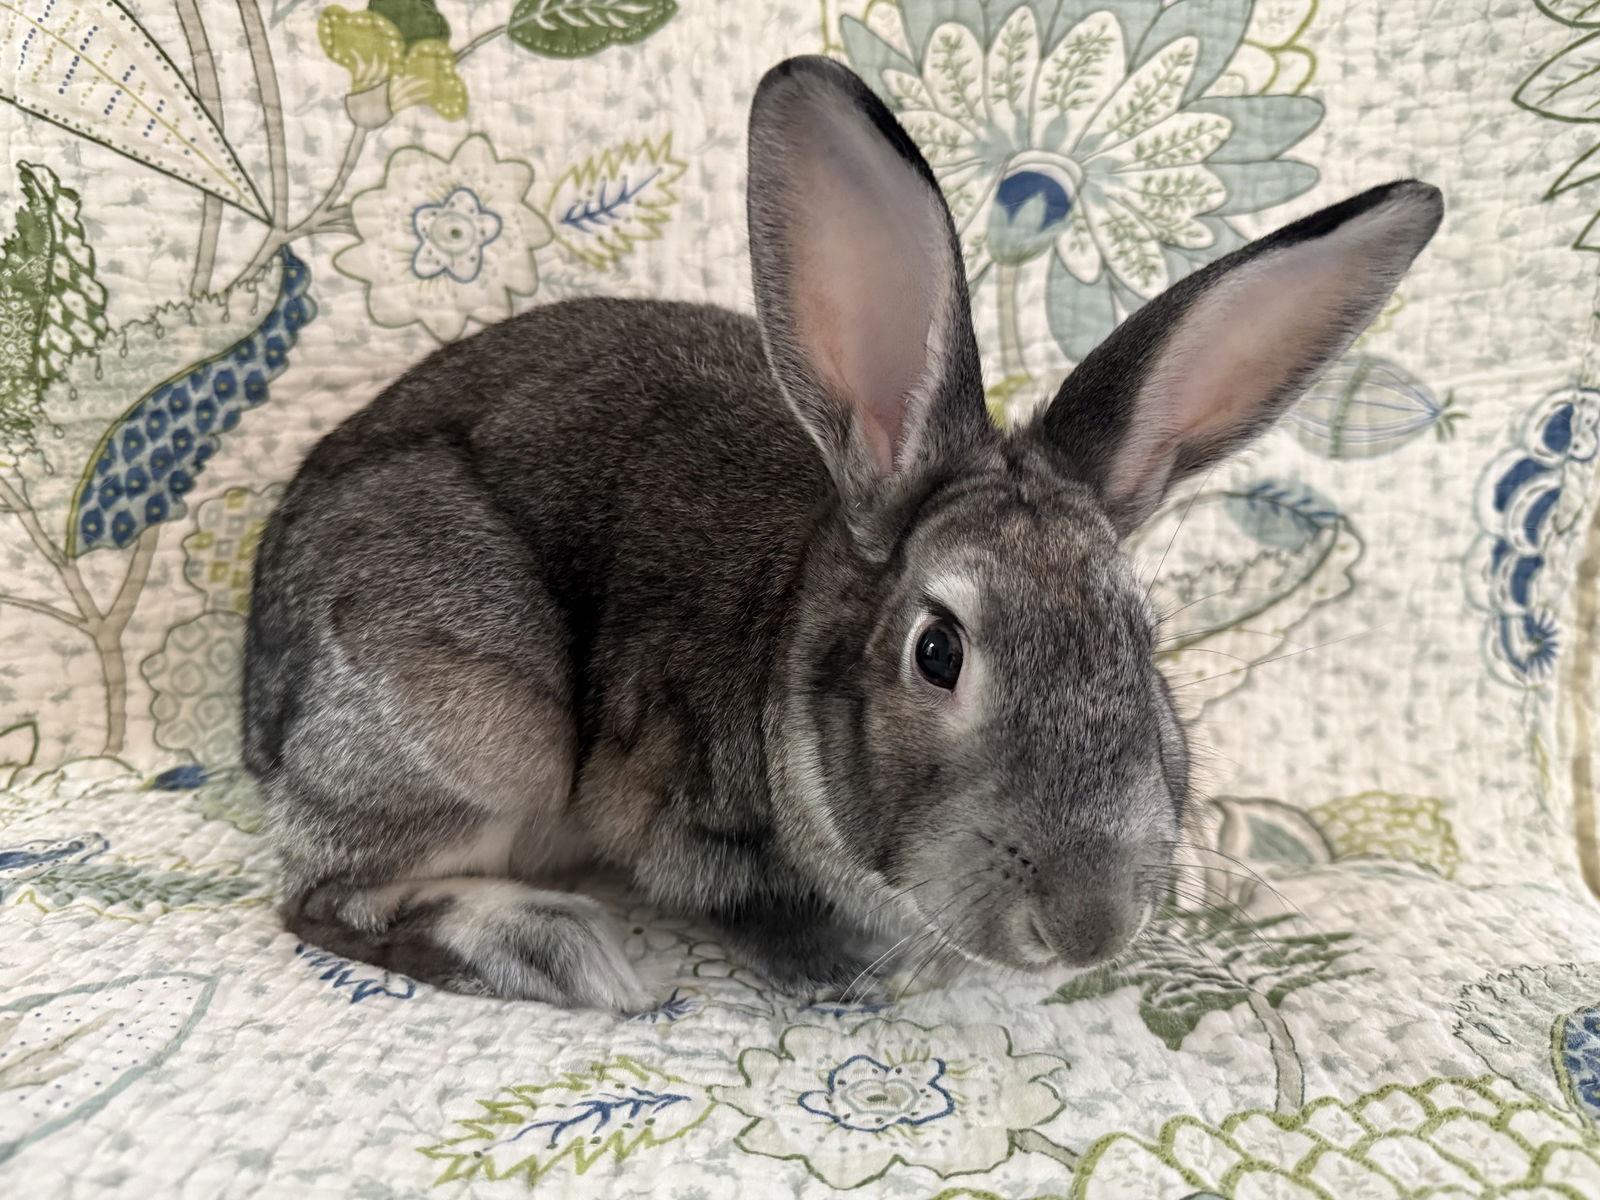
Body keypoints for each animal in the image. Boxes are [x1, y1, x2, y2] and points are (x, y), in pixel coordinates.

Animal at [242, 55, 1442, 1011]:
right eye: (937, 652)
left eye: (1144, 648)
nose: (1090, 924)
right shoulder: (680, 821)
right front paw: (881, 971)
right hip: (479, 720)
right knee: (327, 901)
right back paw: (570, 954)